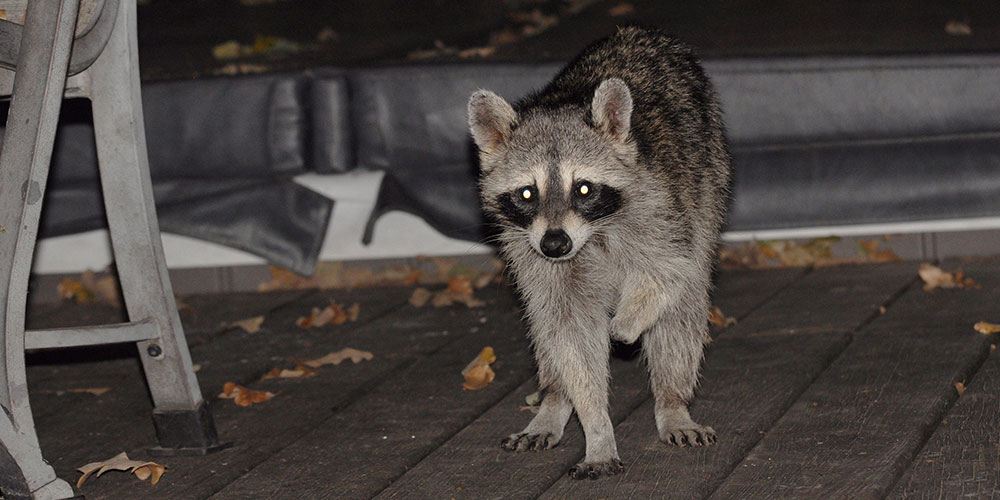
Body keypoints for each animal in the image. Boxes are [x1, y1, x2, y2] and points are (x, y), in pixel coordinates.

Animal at [468, 27, 730, 479]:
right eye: (527, 193)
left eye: (584, 189)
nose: (555, 244)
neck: (589, 235)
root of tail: (641, 32)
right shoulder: (532, 251)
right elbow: (568, 335)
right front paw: (596, 427)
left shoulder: (661, 203)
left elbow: (672, 269)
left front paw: (626, 323)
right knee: (544, 327)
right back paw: (554, 400)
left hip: (710, 171)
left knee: (683, 311)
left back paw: (672, 400)